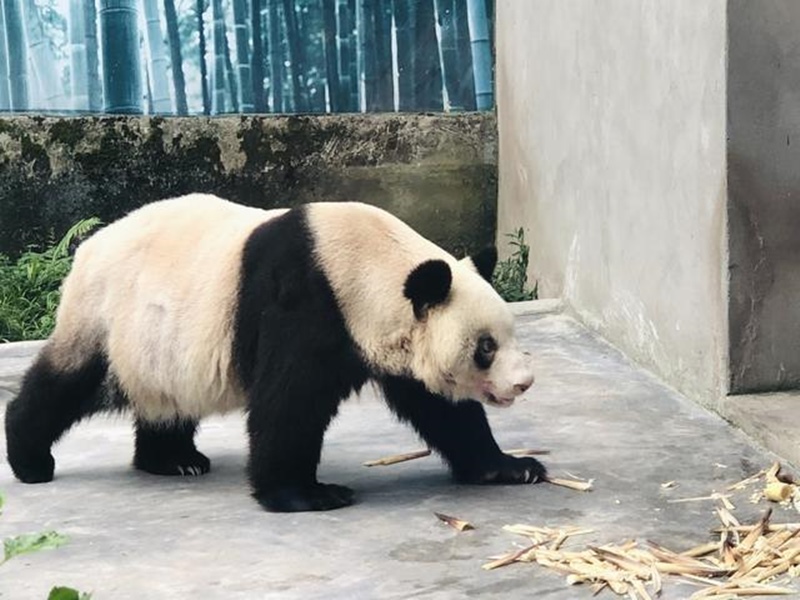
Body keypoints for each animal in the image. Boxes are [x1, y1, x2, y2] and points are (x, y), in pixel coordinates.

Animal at [4, 195, 544, 512]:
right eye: (485, 347)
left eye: (508, 335)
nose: (523, 383)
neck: (370, 265)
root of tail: (87, 246)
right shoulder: (307, 301)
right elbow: (289, 403)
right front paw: (307, 493)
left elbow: (443, 410)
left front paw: (512, 467)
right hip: (109, 315)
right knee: (67, 383)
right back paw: (30, 460)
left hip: (160, 340)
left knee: (165, 398)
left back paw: (174, 460)